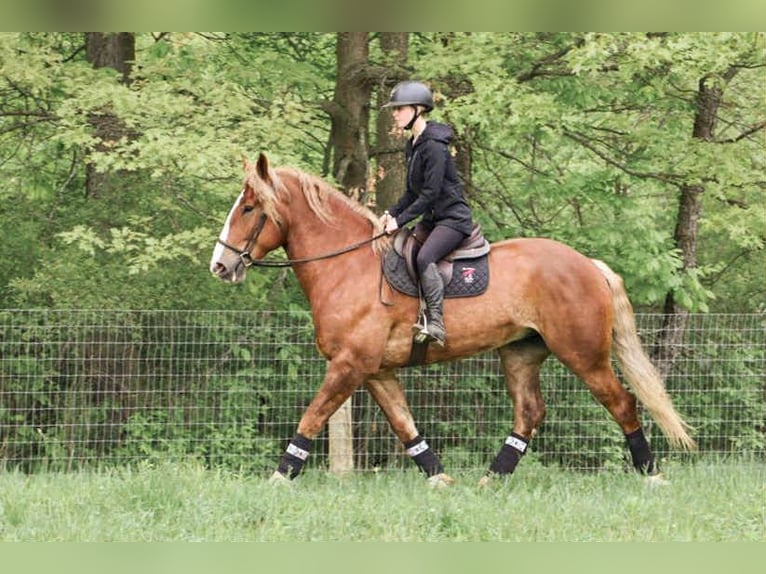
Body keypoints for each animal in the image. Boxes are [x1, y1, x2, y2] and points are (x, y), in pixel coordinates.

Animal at [210, 152, 696, 487]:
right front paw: (439, 477)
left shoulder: (349, 366)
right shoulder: (376, 371)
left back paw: (651, 473)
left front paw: (279, 476)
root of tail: (589, 265)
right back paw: (492, 479)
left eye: (249, 209)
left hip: (583, 355)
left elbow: (312, 417)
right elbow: (405, 425)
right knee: (529, 413)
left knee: (622, 403)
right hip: (520, 354)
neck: (348, 266)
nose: (220, 266)